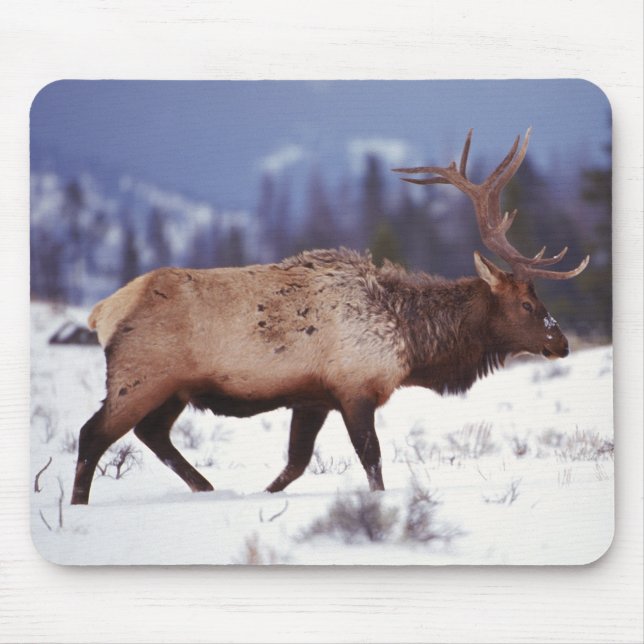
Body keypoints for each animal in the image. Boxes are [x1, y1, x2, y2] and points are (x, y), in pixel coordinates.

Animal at [71, 128, 589, 505]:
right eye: (527, 304)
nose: (561, 343)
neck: (412, 343)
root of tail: (102, 311)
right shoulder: (354, 387)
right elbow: (372, 460)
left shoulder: (312, 397)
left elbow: (295, 464)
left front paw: (262, 495)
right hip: (140, 376)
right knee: (92, 434)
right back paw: (79, 508)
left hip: (173, 388)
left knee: (151, 432)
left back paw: (207, 489)